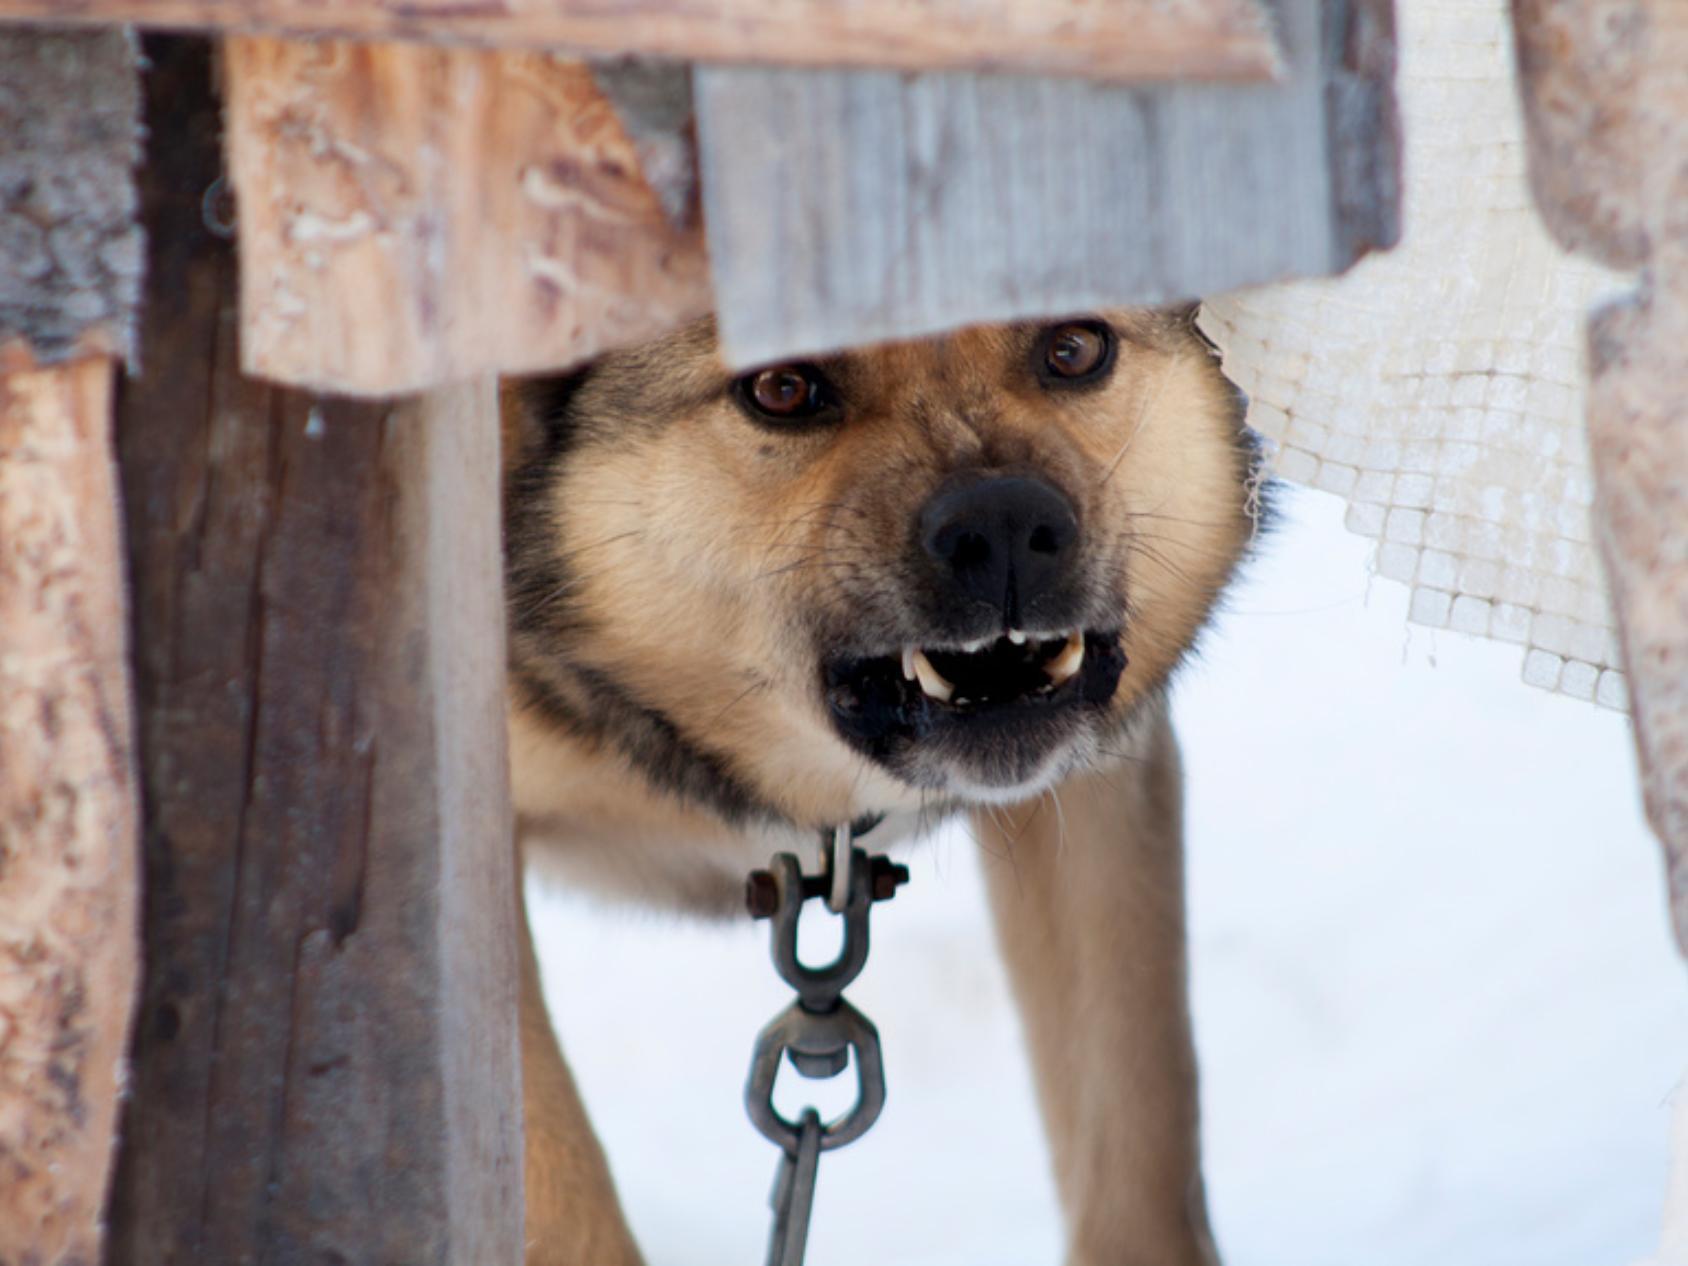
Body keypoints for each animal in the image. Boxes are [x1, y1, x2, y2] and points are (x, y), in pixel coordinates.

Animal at [506, 310, 1262, 1266]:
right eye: (781, 388)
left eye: (1074, 347)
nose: (1004, 525)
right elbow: (562, 1201)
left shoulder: (1098, 800)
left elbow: (1138, 1135)